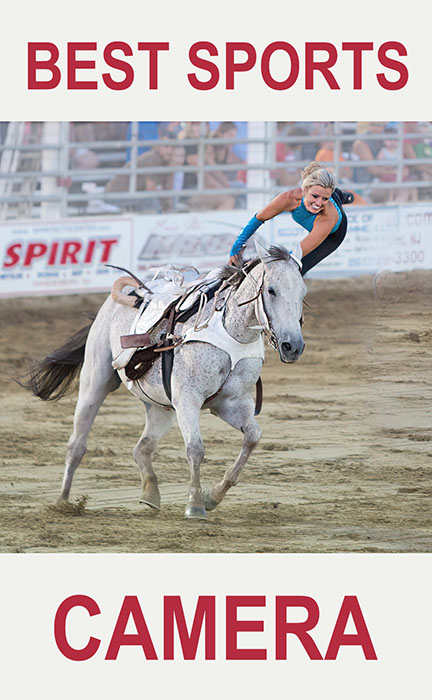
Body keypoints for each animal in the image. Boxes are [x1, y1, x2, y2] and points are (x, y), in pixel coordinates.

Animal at [24, 246, 308, 520]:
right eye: (271, 290)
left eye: (303, 292)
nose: (292, 346)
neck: (230, 331)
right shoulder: (188, 400)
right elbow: (195, 448)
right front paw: (195, 506)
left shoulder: (231, 403)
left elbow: (252, 437)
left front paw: (212, 496)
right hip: (95, 381)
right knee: (77, 445)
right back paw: (63, 502)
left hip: (161, 407)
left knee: (142, 448)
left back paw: (150, 494)